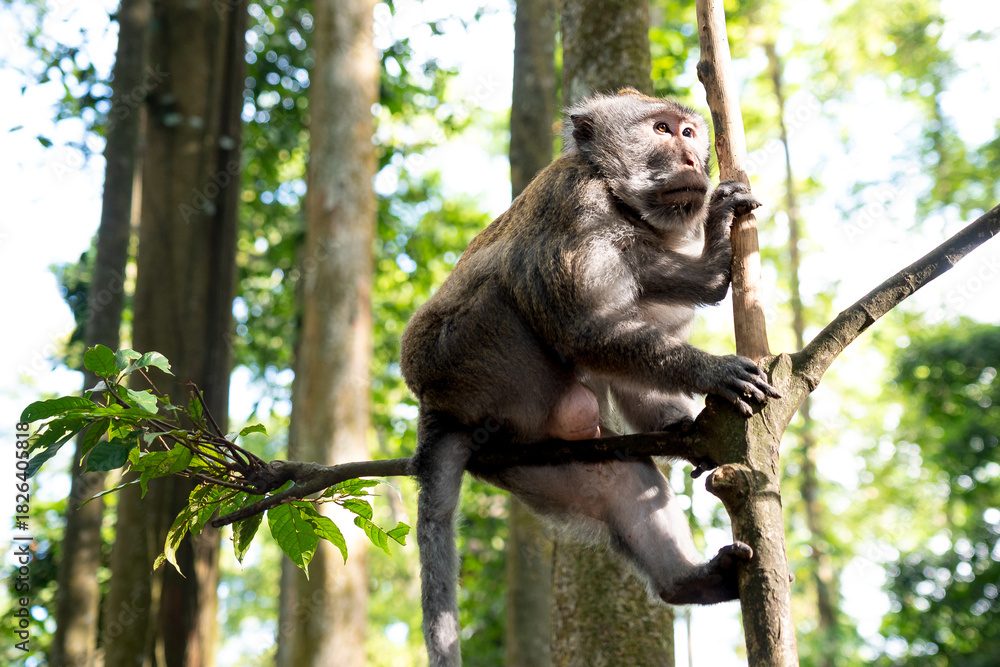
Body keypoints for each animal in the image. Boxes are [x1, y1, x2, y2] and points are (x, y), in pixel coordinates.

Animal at [399, 88, 781, 666]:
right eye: (663, 130)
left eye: (690, 132)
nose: (692, 159)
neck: (620, 198)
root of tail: (434, 409)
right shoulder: (582, 208)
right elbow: (584, 328)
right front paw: (714, 365)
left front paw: (682, 426)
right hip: (472, 356)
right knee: (511, 286)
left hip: (530, 461)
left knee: (620, 477)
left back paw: (688, 583)